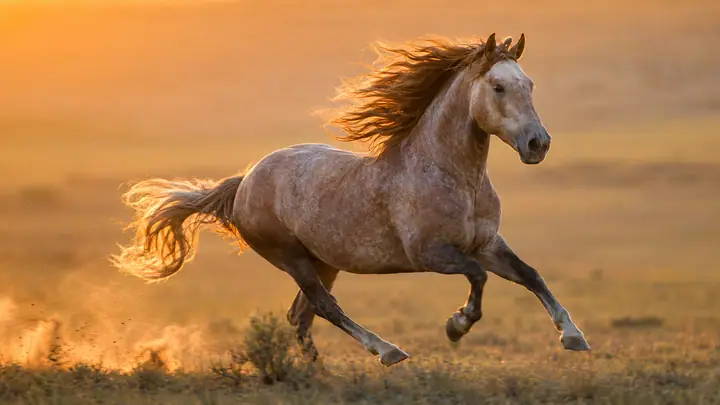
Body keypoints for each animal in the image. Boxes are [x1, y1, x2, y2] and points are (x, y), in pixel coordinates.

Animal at [111, 33, 590, 367]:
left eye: (529, 83)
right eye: (497, 87)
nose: (538, 144)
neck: (451, 175)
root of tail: (245, 181)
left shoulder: (486, 243)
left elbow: (529, 275)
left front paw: (572, 336)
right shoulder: (432, 253)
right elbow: (477, 277)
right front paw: (456, 326)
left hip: (324, 261)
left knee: (300, 316)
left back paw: (315, 376)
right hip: (292, 259)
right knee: (324, 307)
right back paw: (387, 351)